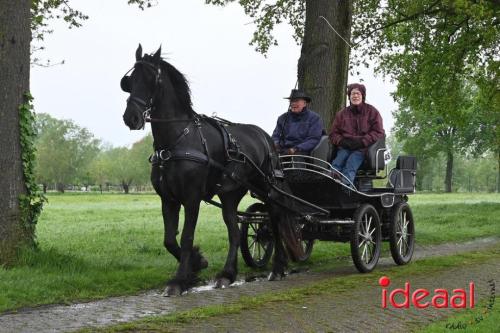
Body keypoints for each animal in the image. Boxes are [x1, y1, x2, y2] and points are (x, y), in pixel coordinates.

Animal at [121, 44, 300, 296]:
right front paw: (197, 264)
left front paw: (180, 280)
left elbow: (186, 237)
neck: (177, 140)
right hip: (230, 194)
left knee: (274, 222)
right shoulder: (168, 199)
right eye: (130, 80)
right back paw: (227, 274)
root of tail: (265, 138)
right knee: (234, 230)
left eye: (151, 79)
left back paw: (277, 268)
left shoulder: (192, 197)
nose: (131, 117)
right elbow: (169, 240)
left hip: (267, 188)